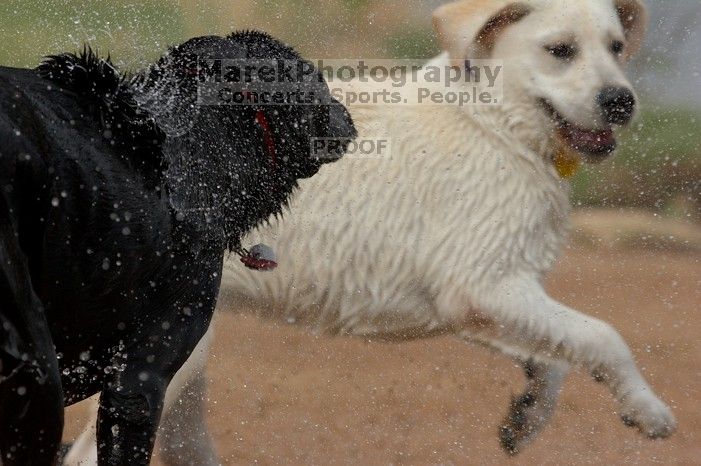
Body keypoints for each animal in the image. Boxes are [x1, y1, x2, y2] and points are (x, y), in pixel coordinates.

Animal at [68, 0, 676, 460]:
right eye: (560, 50)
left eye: (617, 47)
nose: (622, 103)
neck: (496, 121)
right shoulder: (478, 283)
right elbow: (602, 335)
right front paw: (650, 413)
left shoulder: (475, 298)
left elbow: (556, 350)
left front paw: (524, 420)